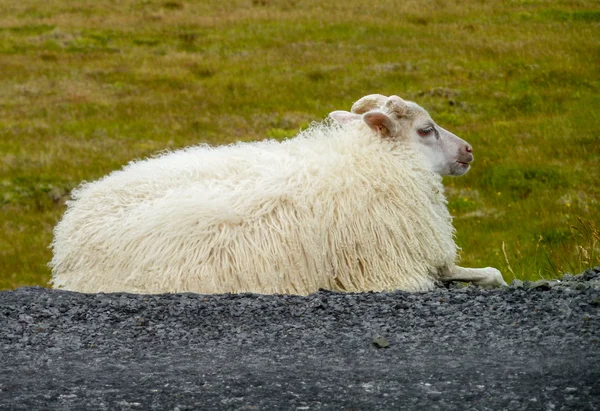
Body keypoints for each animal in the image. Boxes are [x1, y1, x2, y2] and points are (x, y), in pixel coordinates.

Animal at [49, 96, 504, 296]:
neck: (368, 160)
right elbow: (485, 275)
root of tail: (66, 237)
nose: (469, 151)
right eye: (426, 129)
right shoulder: (395, 271)